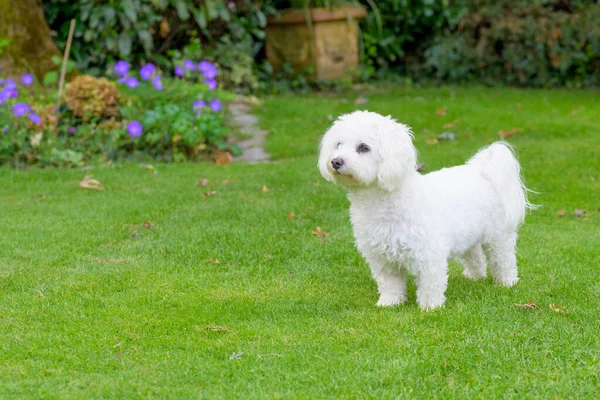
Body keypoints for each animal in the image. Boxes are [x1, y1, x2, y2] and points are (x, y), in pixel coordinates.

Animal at [318, 111, 536, 310]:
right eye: (338, 144)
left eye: (363, 148)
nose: (335, 161)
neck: (384, 203)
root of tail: (481, 171)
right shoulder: (382, 258)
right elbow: (390, 284)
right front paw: (390, 303)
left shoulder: (429, 254)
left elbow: (430, 284)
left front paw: (430, 307)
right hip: (468, 234)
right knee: (474, 254)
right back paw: (475, 276)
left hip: (498, 236)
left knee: (504, 259)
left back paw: (507, 282)